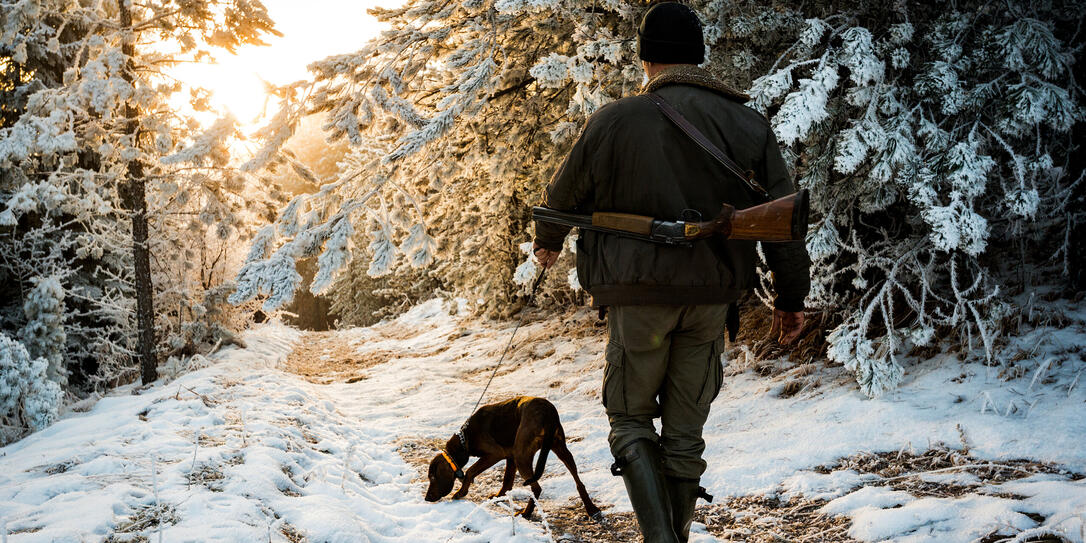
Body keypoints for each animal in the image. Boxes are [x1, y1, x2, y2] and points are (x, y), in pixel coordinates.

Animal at [421, 397, 603, 519]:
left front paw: (460, 492)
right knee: (579, 482)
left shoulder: (495, 454)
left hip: (522, 455)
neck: (465, 438)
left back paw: (526, 513)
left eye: (432, 477)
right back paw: (591, 509)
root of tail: (547, 412)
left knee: (537, 488)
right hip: (560, 449)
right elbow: (507, 481)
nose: (426, 498)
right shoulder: (510, 457)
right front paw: (498, 496)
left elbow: (470, 471)